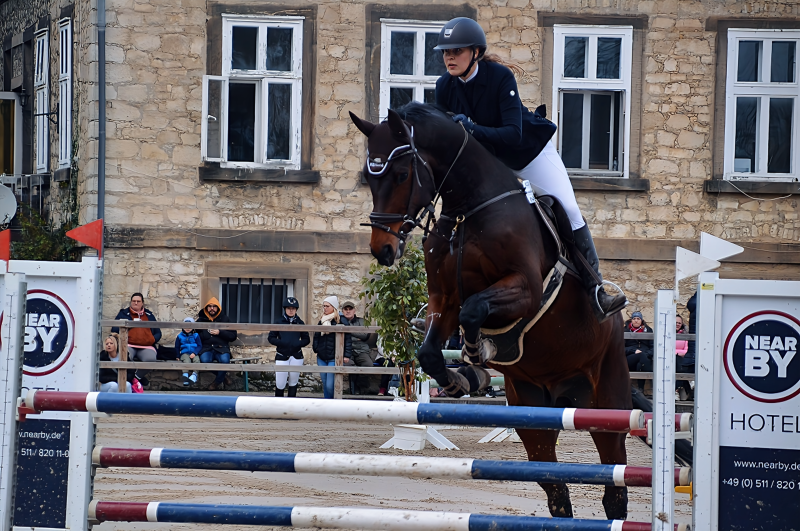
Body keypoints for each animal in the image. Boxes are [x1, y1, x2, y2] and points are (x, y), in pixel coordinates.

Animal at [350, 105, 632, 524]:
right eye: (370, 177)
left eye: (401, 174)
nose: (382, 249)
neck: (468, 210)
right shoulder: (444, 299)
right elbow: (430, 350)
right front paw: (463, 378)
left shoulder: (525, 290)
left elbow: (475, 310)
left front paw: (477, 354)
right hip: (533, 411)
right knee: (555, 487)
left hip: (607, 404)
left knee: (614, 484)